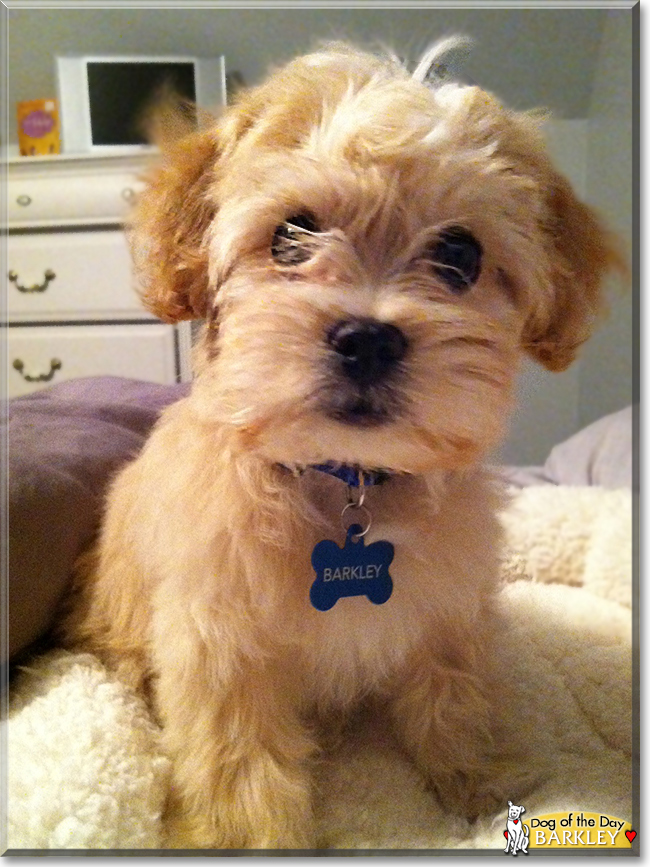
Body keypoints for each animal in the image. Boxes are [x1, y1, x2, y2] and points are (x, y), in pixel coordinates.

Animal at [63, 40, 620, 848]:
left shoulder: (447, 612)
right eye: (290, 236)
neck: (348, 482)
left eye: (460, 254)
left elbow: (452, 697)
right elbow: (240, 762)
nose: (368, 339)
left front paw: (477, 784)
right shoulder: (220, 647)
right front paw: (245, 841)